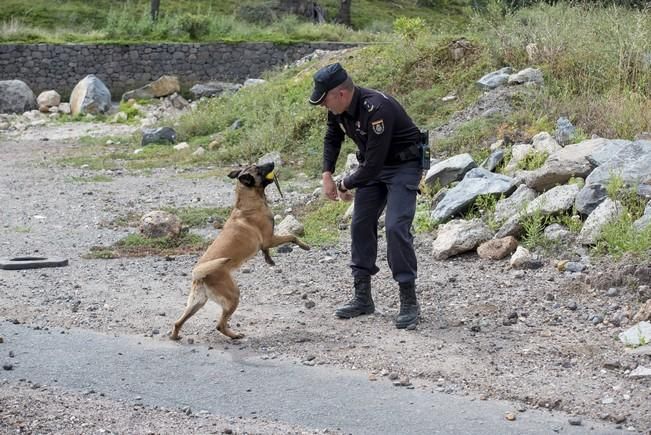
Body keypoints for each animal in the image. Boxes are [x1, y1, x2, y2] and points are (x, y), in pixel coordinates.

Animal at [168, 163, 310, 340]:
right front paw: (304, 245)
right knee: (220, 325)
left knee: (177, 322)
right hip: (233, 296)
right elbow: (291, 236)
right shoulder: (269, 238)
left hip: (197, 302)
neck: (248, 200)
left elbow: (267, 250)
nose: (271, 162)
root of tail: (199, 274)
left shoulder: (266, 242)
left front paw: (269, 260)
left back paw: (175, 336)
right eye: (259, 168)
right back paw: (234, 335)